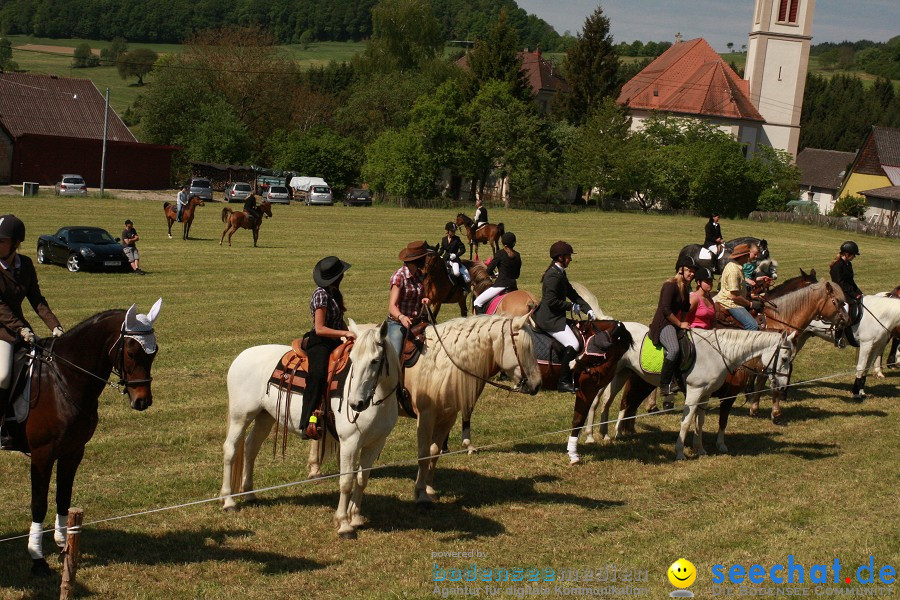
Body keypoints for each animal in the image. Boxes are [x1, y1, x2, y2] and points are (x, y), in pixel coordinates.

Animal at [2, 302, 160, 576]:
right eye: (130, 352)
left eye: (154, 352)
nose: (142, 401)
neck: (64, 378)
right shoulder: (42, 454)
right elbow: (38, 504)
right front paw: (37, 559)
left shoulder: (73, 451)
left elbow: (63, 497)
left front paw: (64, 543)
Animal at [220, 322, 400, 540]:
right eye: (352, 360)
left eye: (375, 361)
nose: (356, 403)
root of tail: (241, 357)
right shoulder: (349, 442)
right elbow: (346, 481)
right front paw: (344, 524)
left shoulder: (376, 442)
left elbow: (362, 479)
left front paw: (356, 517)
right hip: (240, 417)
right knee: (231, 449)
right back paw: (229, 501)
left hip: (265, 417)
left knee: (250, 448)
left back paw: (249, 494)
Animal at [406, 314, 540, 506]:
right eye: (525, 348)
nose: (537, 384)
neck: (441, 363)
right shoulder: (426, 416)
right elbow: (424, 456)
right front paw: (420, 494)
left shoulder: (447, 417)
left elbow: (434, 453)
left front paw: (429, 490)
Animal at [572, 324, 800, 460]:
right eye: (784, 358)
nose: (782, 388)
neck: (718, 353)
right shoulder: (694, 393)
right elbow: (687, 422)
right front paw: (680, 452)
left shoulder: (705, 394)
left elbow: (700, 421)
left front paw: (700, 449)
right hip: (610, 376)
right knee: (599, 402)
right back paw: (592, 436)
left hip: (622, 374)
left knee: (608, 402)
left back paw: (605, 434)